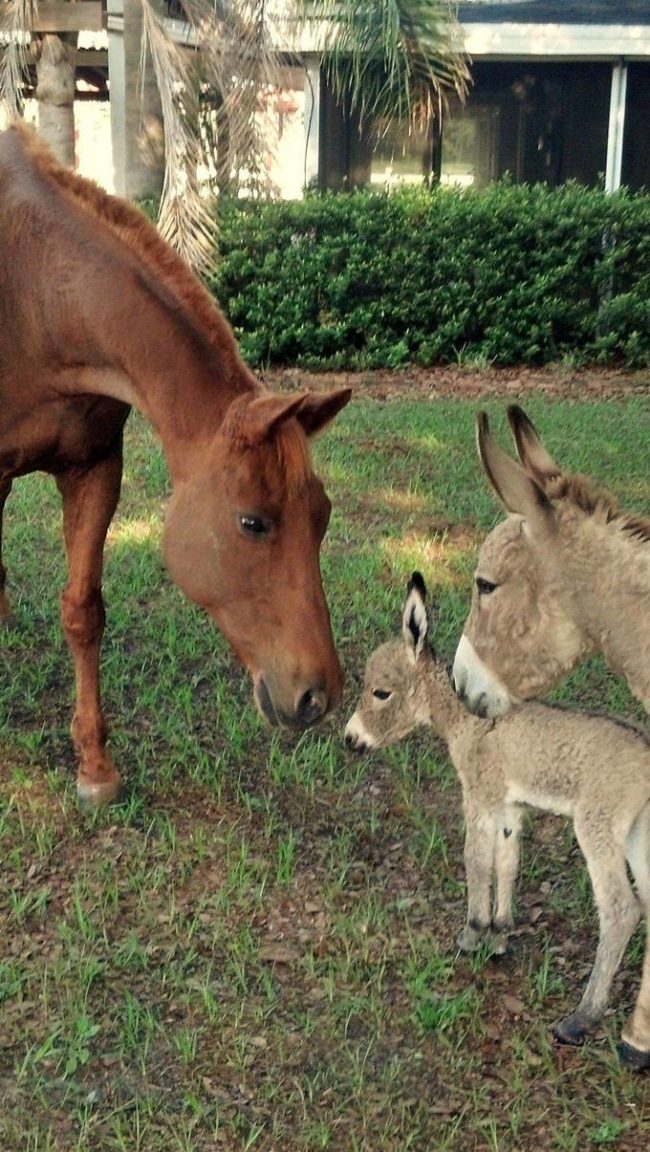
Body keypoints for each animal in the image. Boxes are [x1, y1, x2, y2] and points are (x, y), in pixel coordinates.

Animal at [0, 126, 350, 806]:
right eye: (252, 523)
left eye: (322, 518)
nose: (317, 697)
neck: (36, 296)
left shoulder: (94, 469)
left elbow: (83, 612)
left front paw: (96, 767)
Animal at [345, 576, 650, 1069]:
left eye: (381, 693)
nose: (351, 740)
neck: (467, 722)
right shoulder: (510, 806)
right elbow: (507, 862)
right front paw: (501, 935)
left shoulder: (480, 796)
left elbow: (476, 860)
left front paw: (472, 934)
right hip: (640, 834)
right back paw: (636, 1042)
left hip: (599, 825)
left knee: (621, 910)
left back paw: (582, 1019)